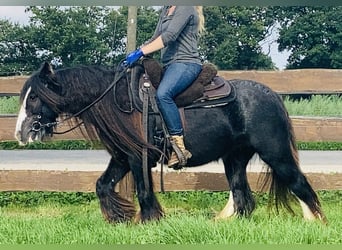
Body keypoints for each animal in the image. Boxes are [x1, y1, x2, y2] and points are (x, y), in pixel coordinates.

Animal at [14, 62, 328, 223]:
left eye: (35, 96)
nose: (21, 132)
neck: (120, 102)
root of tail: (273, 96)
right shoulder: (122, 157)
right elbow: (102, 185)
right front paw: (119, 217)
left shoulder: (139, 158)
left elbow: (143, 192)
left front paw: (149, 220)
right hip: (234, 158)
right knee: (241, 197)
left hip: (276, 153)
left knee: (299, 184)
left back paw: (315, 221)